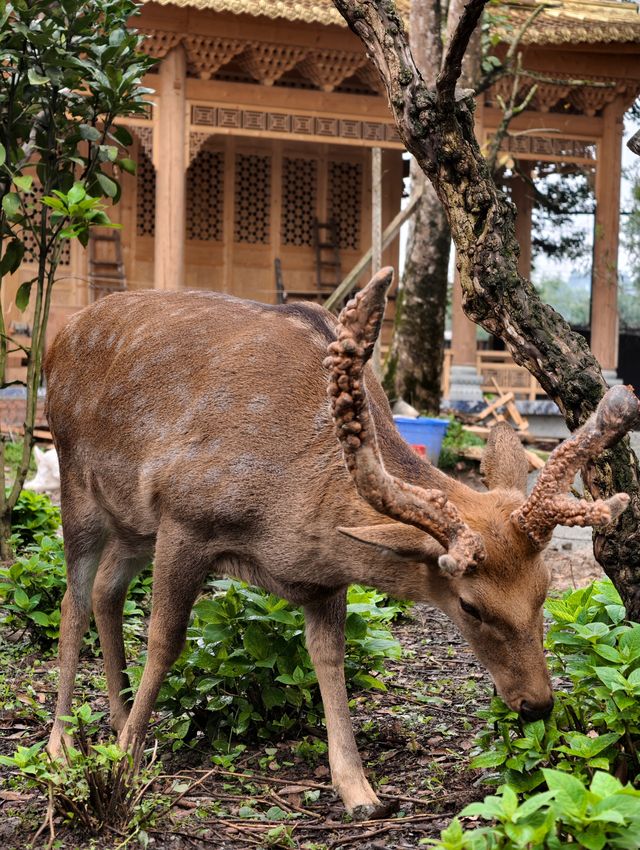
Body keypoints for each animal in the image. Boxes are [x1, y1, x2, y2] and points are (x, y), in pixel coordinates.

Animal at [42, 266, 636, 816]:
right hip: (77, 479)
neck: (288, 513)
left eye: (545, 588)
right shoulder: (185, 516)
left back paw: (116, 720)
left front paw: (359, 790)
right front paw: (124, 765)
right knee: (74, 600)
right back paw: (63, 744)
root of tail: (60, 336)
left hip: (133, 524)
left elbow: (329, 660)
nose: (537, 704)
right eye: (470, 605)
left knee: (107, 590)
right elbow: (165, 641)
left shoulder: (322, 577)